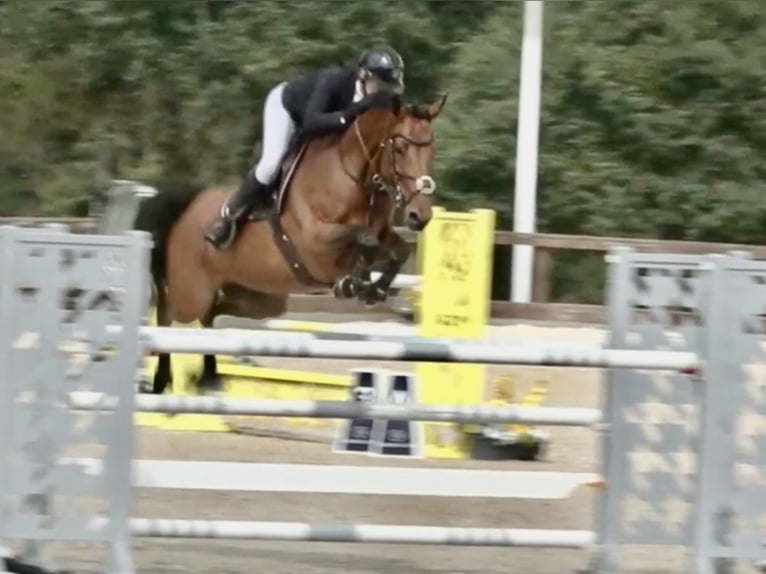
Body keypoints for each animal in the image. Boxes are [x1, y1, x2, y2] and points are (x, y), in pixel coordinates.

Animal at [134, 92, 448, 394]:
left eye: (432, 149)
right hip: (192, 294)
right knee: (167, 314)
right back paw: (161, 378)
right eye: (400, 148)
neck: (355, 178)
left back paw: (208, 377)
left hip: (259, 299)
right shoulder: (315, 244)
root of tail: (187, 206)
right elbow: (364, 238)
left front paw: (374, 288)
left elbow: (398, 249)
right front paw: (355, 282)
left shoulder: (383, 235)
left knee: (211, 315)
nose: (420, 216)